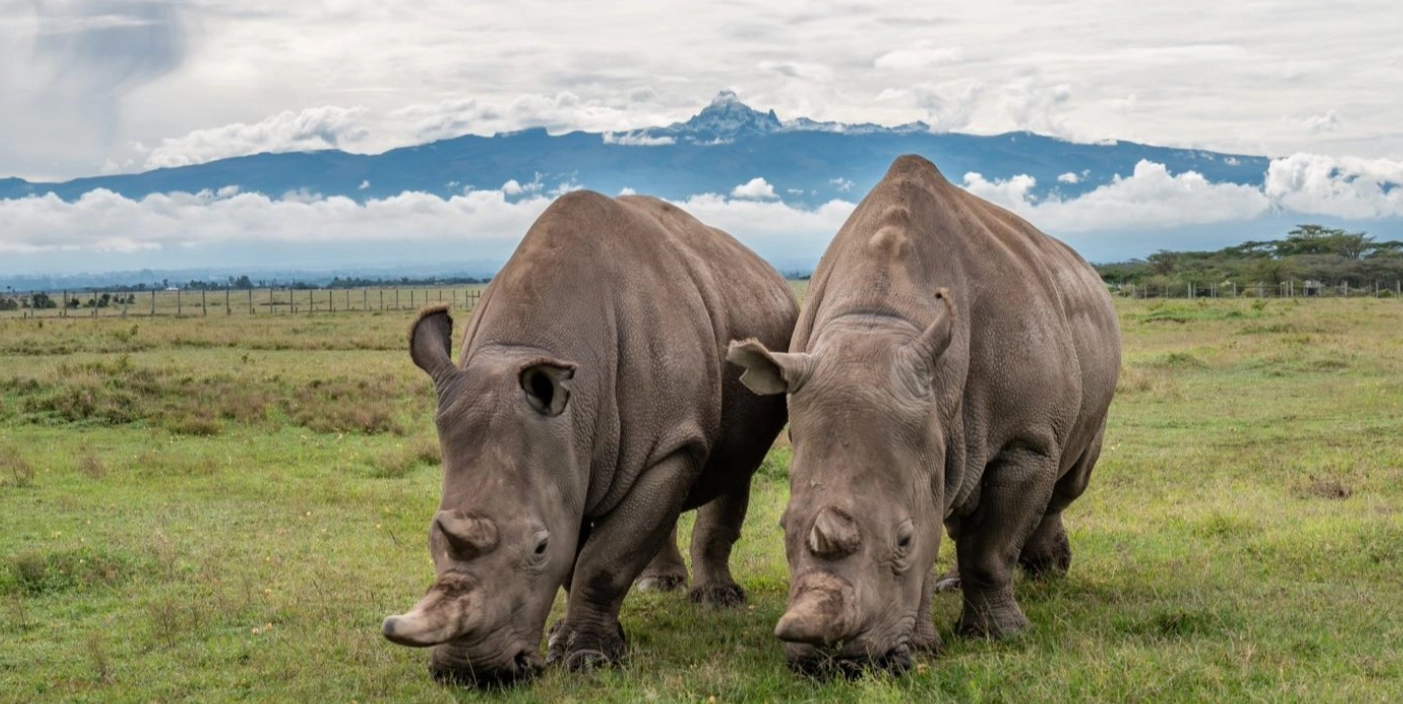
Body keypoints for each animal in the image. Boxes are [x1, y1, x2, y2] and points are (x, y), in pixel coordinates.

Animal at [382, 190, 798, 685]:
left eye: (538, 547)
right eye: (432, 537)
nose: (472, 672)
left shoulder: (668, 443)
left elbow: (603, 558)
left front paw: (588, 659)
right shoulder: (565, 453)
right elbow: (580, 553)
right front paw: (568, 639)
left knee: (734, 468)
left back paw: (717, 602)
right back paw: (658, 586)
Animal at [728, 155, 1121, 672]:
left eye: (903, 540)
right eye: (783, 529)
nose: (833, 663)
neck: (879, 320)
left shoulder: (1026, 440)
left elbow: (990, 549)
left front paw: (1001, 635)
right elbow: (939, 525)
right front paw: (923, 646)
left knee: (1066, 481)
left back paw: (1046, 573)